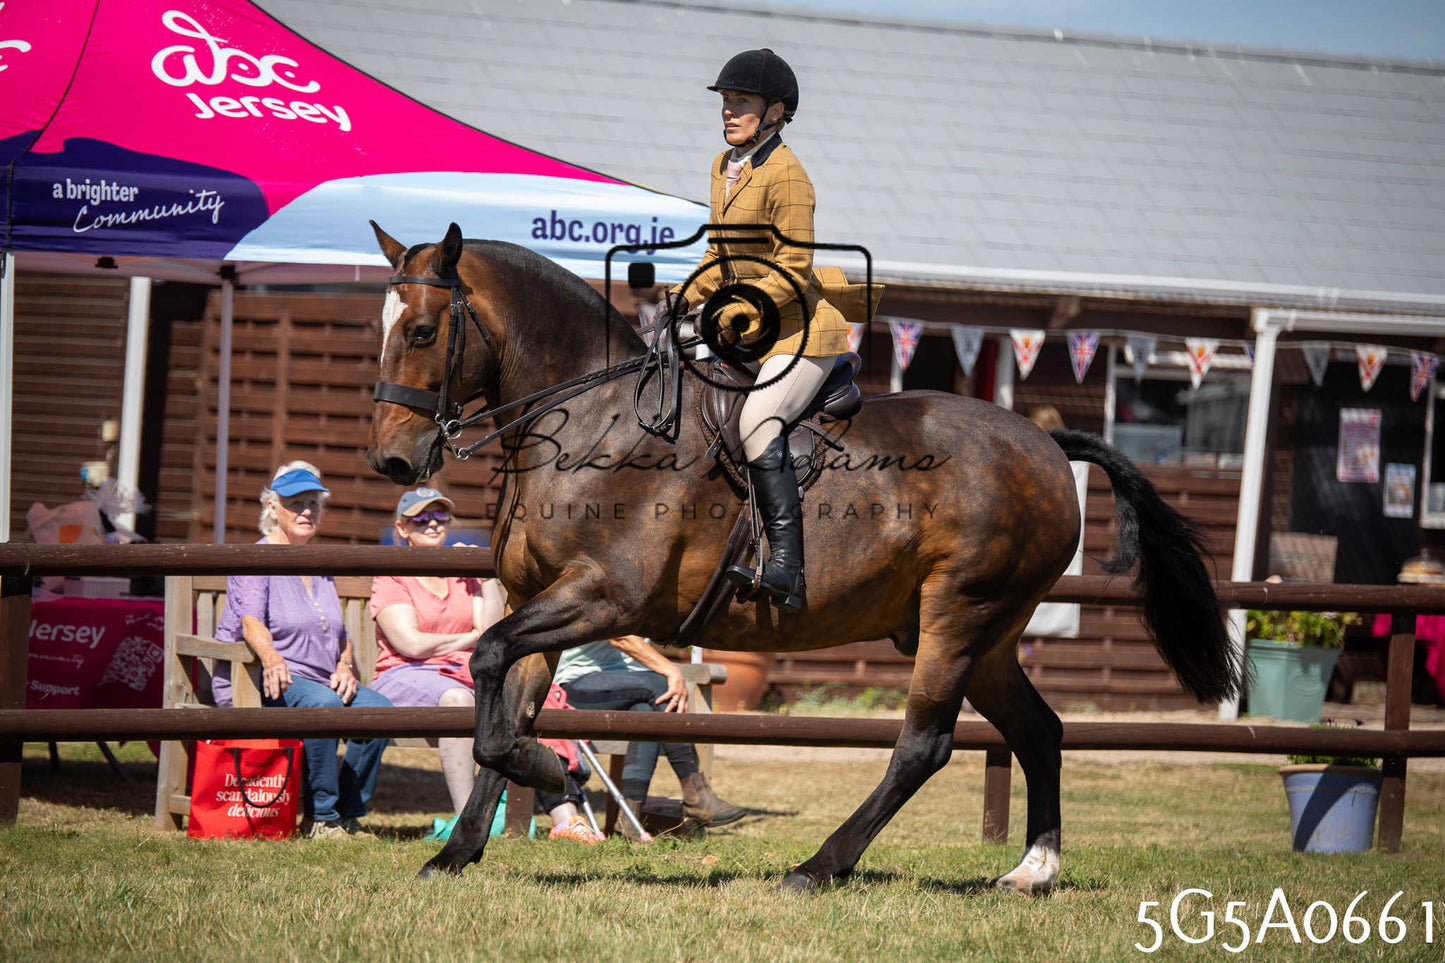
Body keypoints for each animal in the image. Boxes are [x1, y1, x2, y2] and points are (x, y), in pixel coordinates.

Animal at [366, 222, 1240, 893]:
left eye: (421, 332)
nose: (392, 461)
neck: (592, 415)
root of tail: (1045, 446)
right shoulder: (535, 600)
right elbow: (501, 708)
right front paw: (458, 851)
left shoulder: (602, 596)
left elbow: (488, 676)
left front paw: (556, 775)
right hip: (987, 634)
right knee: (1039, 730)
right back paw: (1032, 870)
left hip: (959, 613)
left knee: (923, 745)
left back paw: (819, 866)